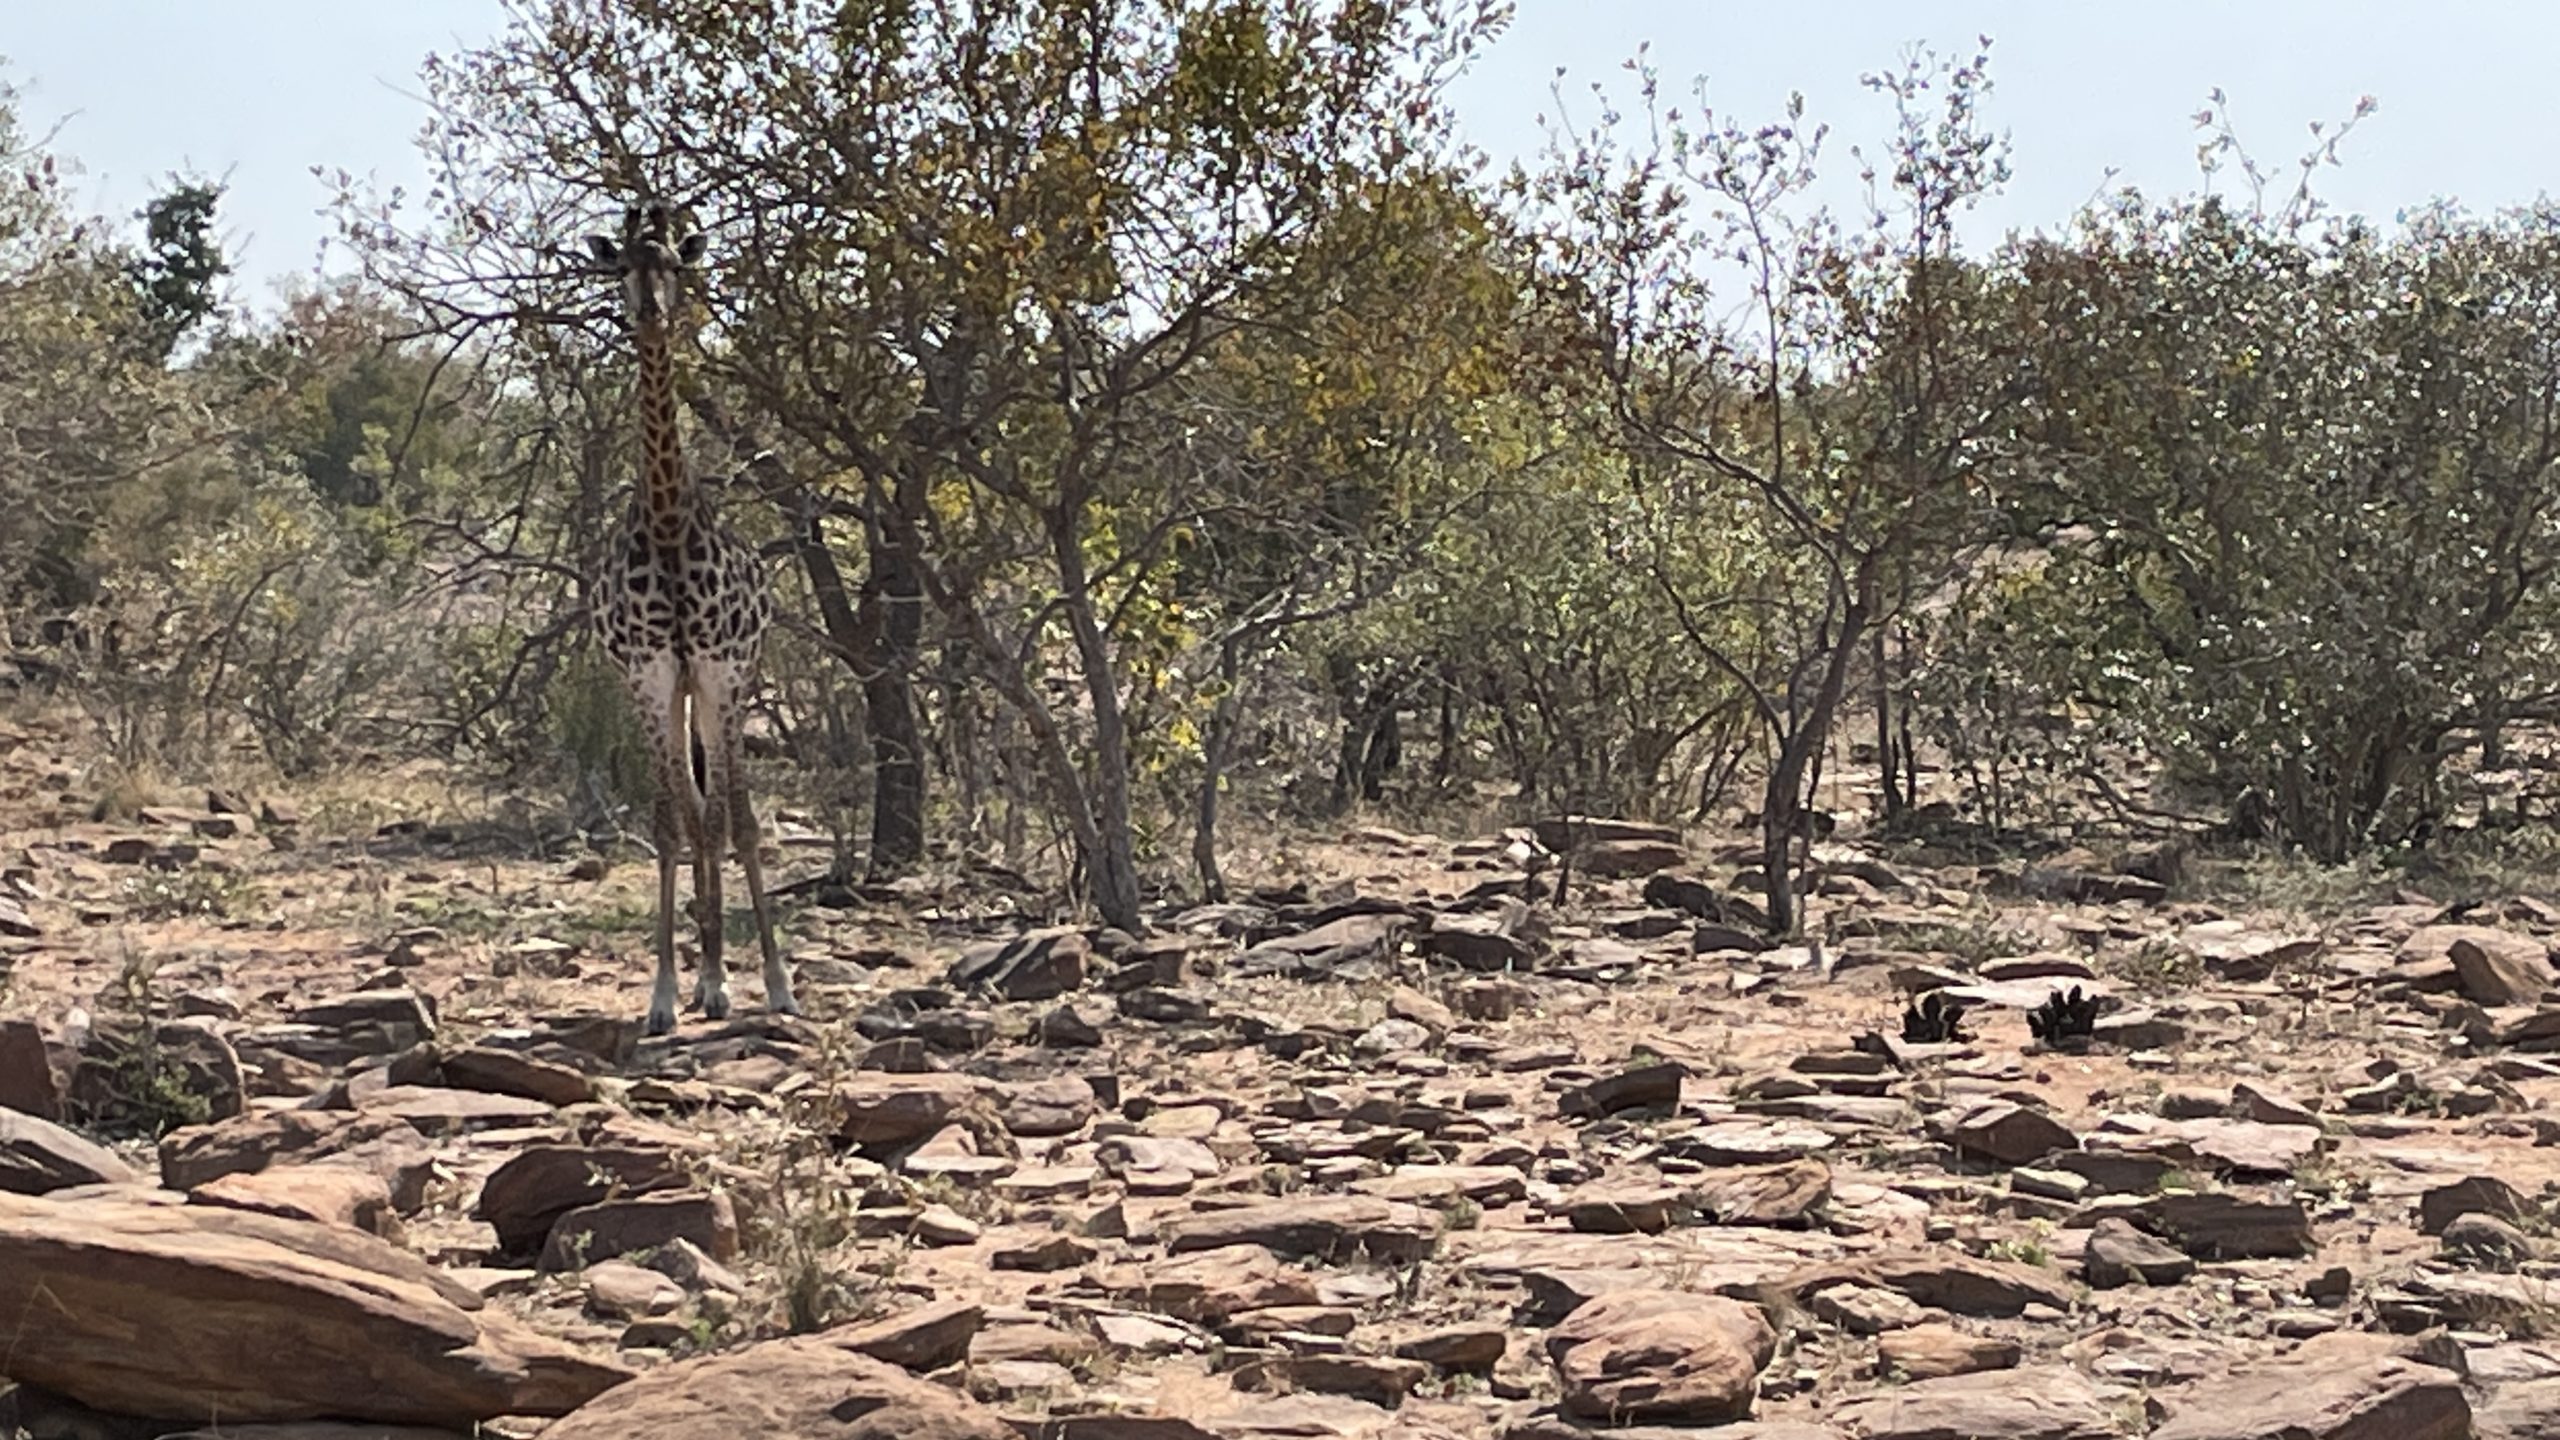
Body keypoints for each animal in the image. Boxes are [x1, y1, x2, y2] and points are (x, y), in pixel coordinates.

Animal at [586, 202, 793, 1030]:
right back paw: (704, 978)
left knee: (722, 811)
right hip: (675, 692)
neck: (672, 527)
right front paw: (667, 993)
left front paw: (774, 982)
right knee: (694, 807)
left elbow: (740, 820)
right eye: (621, 265)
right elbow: (673, 822)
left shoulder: (720, 669)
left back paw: (727, 975)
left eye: (674, 261)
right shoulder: (648, 674)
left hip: (716, 686)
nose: (650, 310)